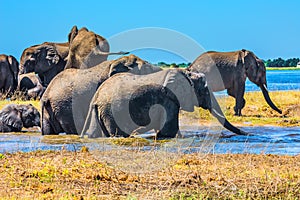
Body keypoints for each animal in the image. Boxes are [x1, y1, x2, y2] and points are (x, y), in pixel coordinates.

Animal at [79, 68, 246, 138]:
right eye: (205, 90)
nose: (247, 134)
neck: (186, 73)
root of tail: (96, 96)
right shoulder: (170, 99)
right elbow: (168, 131)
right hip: (112, 111)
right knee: (118, 133)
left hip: (100, 110)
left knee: (94, 134)